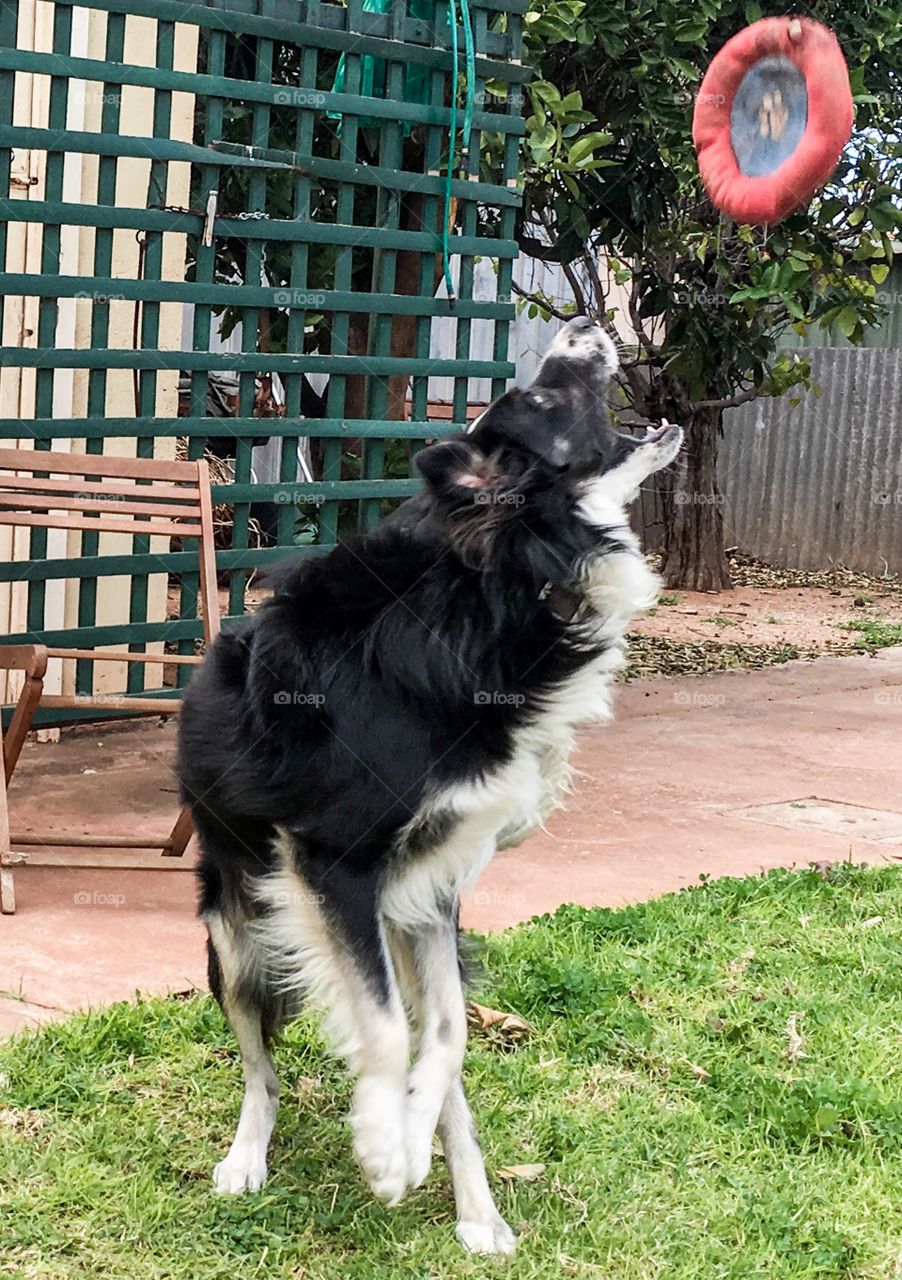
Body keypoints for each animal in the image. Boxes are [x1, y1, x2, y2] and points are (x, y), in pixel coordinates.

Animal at [179, 317, 680, 1249]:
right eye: (544, 400)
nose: (584, 323)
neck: (505, 584)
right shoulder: (330, 861)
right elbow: (379, 1032)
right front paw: (383, 1150)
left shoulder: (436, 887)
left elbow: (443, 1041)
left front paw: (409, 1143)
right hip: (237, 931)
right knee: (262, 1067)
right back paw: (248, 1157)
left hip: (396, 918)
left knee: (434, 1054)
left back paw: (473, 1206)